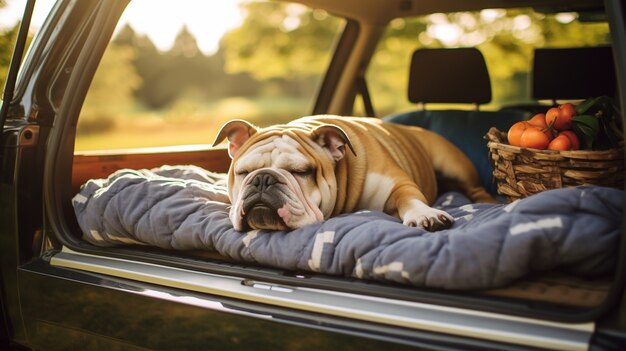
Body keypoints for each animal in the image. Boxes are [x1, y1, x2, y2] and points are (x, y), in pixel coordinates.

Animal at [214, 115, 492, 232]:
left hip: (452, 164)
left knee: (476, 188)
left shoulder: (399, 184)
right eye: (244, 172)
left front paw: (425, 214)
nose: (263, 179)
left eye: (301, 172)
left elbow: (410, 199)